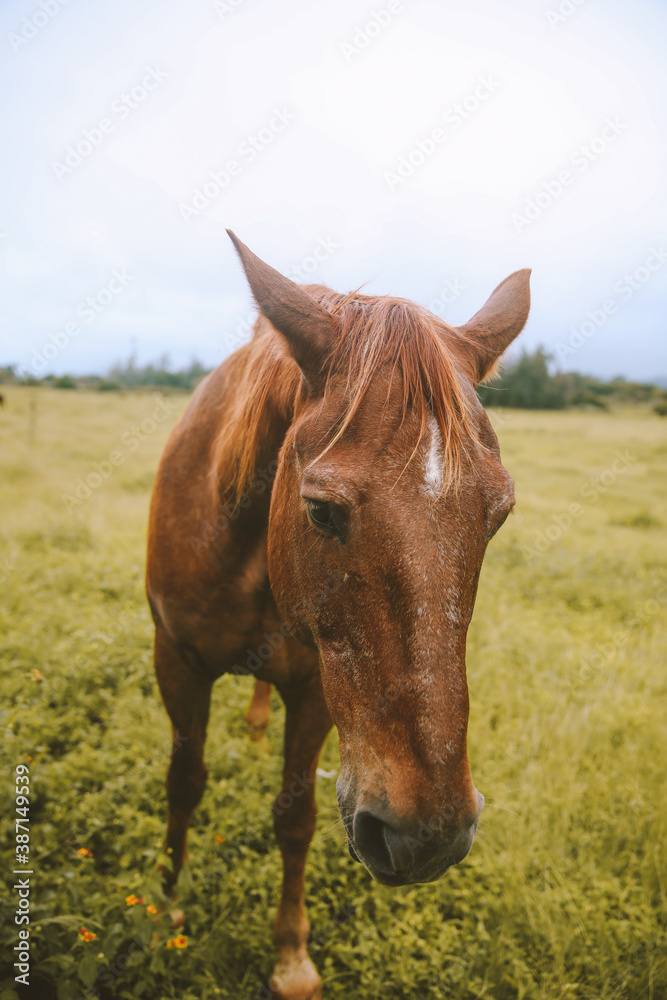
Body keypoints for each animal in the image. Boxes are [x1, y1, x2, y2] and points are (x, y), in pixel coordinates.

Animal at [146, 231, 531, 999]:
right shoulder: (174, 661)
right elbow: (184, 782)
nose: (430, 835)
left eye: (498, 513)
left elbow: (295, 818)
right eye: (320, 509)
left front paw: (290, 956)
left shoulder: (315, 691)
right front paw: (165, 905)